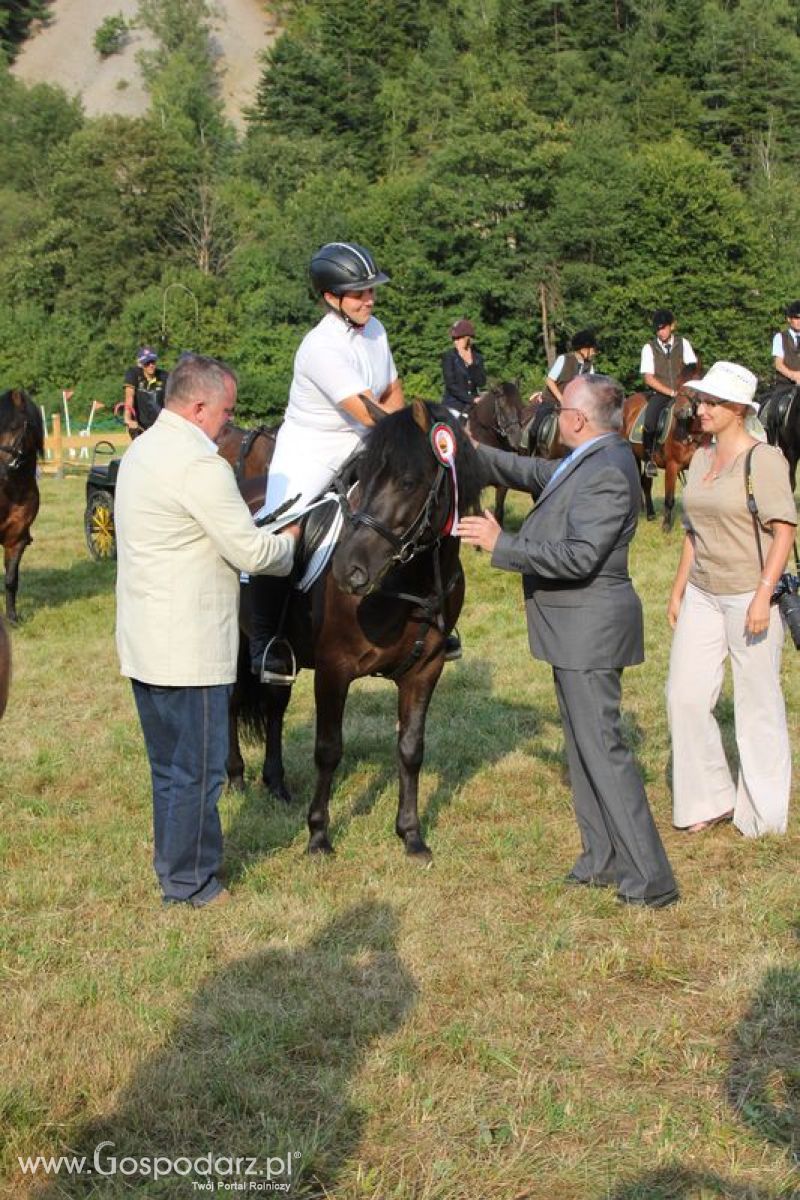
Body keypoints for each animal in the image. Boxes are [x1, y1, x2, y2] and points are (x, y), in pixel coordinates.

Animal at [227, 403, 484, 864]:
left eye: (408, 481)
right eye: (364, 478)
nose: (349, 570)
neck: (409, 583)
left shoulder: (426, 669)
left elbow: (411, 749)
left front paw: (411, 835)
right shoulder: (335, 669)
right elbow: (328, 750)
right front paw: (317, 836)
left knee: (274, 707)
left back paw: (276, 784)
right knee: (233, 702)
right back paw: (236, 778)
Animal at [623, 362, 705, 532]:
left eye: (695, 385)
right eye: (679, 384)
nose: (680, 411)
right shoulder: (672, 466)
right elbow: (669, 498)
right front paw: (666, 526)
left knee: (646, 482)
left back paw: (650, 514)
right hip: (633, 455)